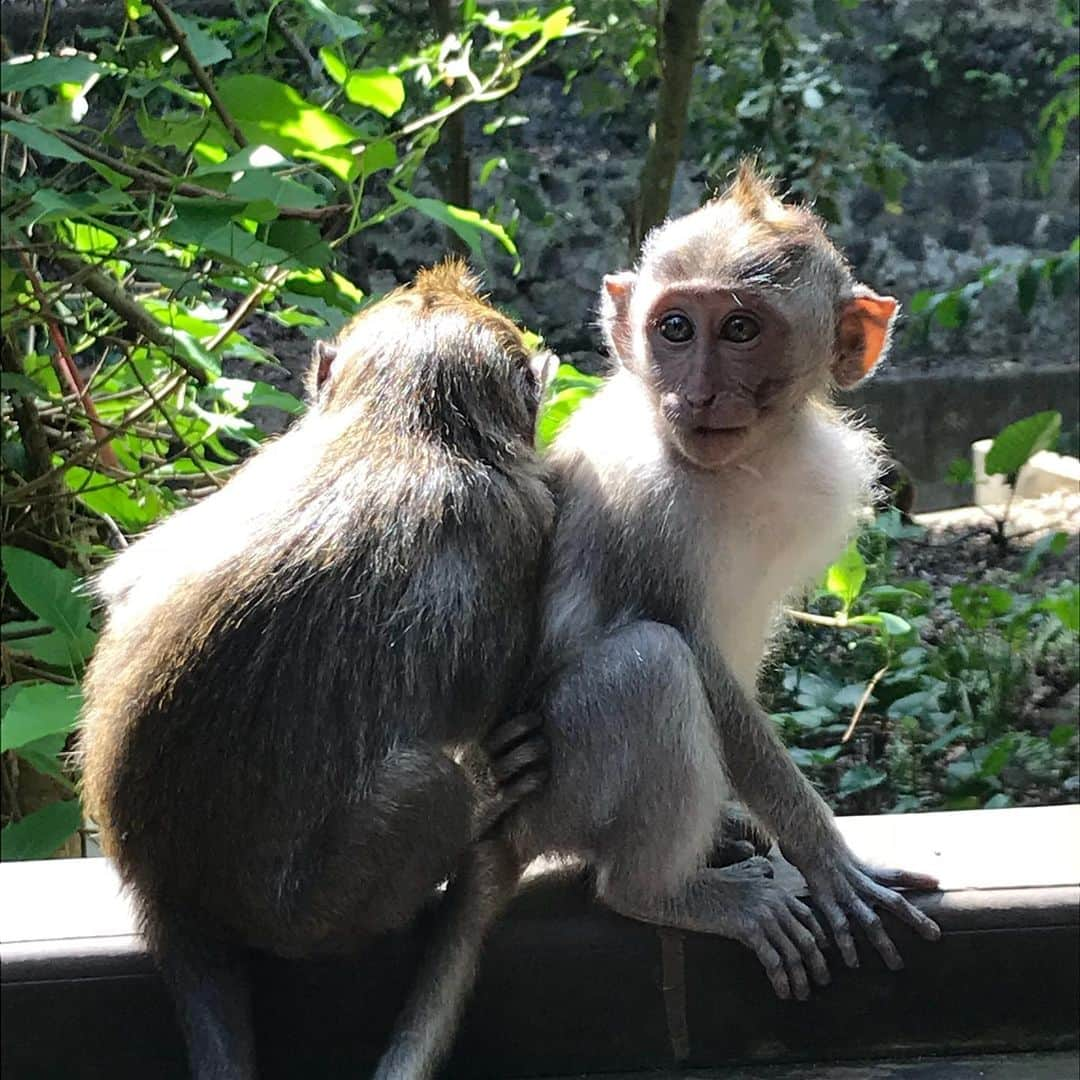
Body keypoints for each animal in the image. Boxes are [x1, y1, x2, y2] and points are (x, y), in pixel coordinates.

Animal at [73, 261, 557, 1080]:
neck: (400, 421)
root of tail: (162, 878)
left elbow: (126, 588)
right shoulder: (525, 518)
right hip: (309, 909)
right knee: (430, 786)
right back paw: (479, 796)